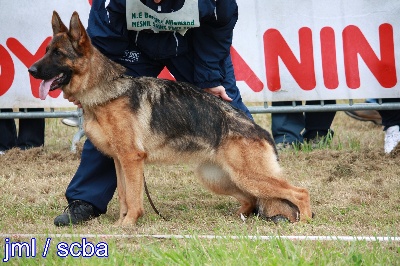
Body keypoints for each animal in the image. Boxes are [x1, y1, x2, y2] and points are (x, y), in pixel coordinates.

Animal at [29, 11, 314, 225]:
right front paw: (121, 223)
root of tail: (259, 130)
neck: (105, 91)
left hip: (248, 176)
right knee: (251, 199)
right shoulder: (120, 162)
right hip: (219, 177)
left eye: (58, 54)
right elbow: (123, 196)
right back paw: (240, 216)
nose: (31, 70)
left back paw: (306, 222)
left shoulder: (132, 160)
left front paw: (128, 224)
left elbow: (133, 198)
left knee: (300, 192)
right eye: (47, 50)